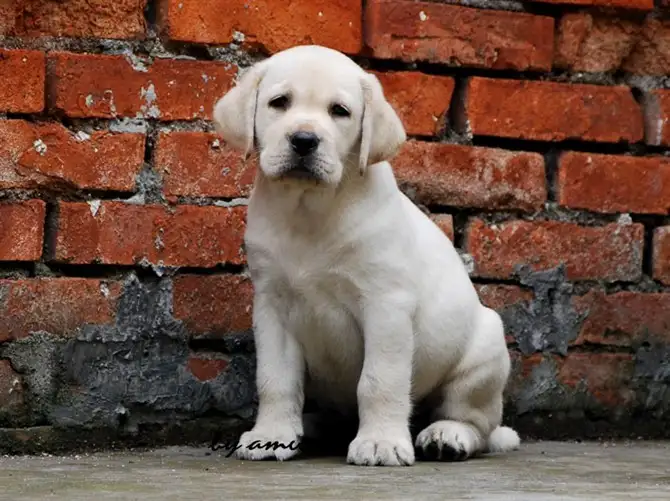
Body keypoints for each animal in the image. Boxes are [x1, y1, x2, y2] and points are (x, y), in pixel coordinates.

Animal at [213, 45, 524, 462]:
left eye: (339, 111)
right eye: (279, 102)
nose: (304, 140)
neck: (310, 210)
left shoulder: (385, 304)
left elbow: (380, 381)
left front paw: (381, 442)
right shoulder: (272, 308)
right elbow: (275, 380)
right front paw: (272, 434)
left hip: (482, 357)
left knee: (474, 422)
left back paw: (446, 436)